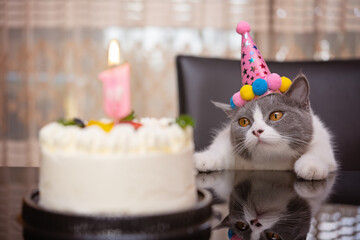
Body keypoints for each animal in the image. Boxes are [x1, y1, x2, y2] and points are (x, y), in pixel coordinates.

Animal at [194, 75, 338, 180]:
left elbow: (320, 151)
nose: (257, 131)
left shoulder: (320, 135)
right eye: (244, 122)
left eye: (276, 115)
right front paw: (204, 159)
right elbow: (221, 145)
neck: (271, 161)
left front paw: (311, 167)